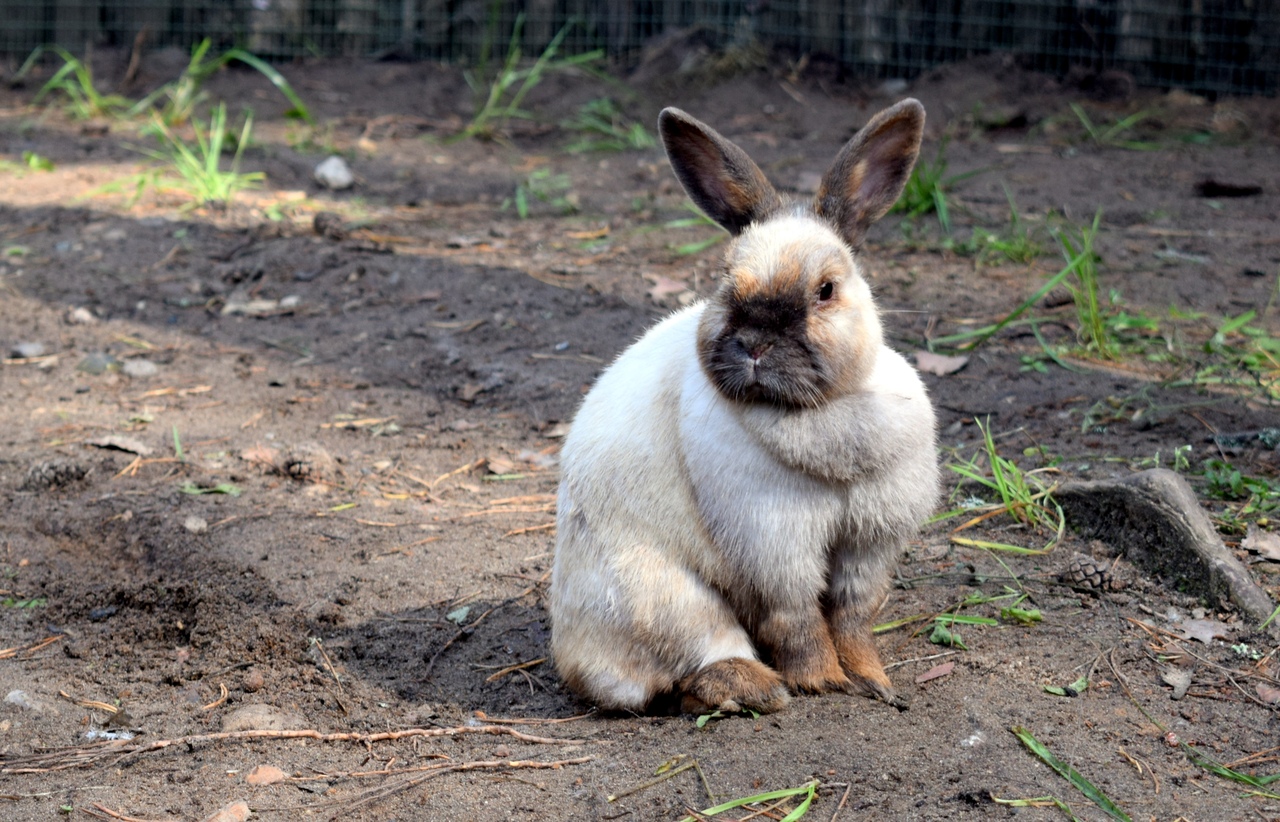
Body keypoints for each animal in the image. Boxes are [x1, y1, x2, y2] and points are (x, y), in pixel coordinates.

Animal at [550, 97, 942, 711]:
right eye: (725, 279)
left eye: (826, 290)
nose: (755, 342)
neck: (820, 408)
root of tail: (575, 659)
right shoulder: (774, 545)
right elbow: (798, 621)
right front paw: (821, 681)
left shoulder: (870, 547)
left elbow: (853, 617)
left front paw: (873, 681)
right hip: (670, 599)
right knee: (696, 664)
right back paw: (759, 688)